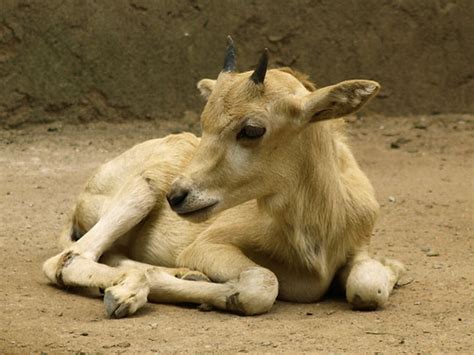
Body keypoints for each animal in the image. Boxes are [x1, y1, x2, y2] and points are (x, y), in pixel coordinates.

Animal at [43, 37, 404, 318]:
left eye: (252, 129)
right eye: (204, 121)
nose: (177, 196)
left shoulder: (358, 247)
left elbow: (368, 287)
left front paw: (395, 268)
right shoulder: (208, 245)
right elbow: (261, 285)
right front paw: (138, 286)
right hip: (141, 192)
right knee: (66, 260)